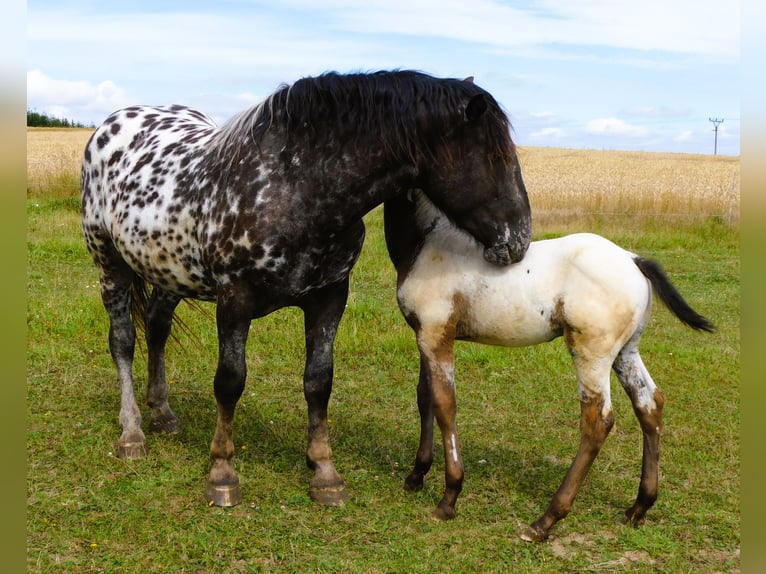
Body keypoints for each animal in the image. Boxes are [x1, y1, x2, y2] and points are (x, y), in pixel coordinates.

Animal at [79, 72, 536, 508]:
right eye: (497, 158)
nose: (518, 241)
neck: (294, 187)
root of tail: (111, 124)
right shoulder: (234, 299)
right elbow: (230, 381)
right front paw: (222, 473)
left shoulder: (329, 298)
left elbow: (319, 381)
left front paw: (324, 472)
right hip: (109, 262)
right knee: (123, 341)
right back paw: (132, 431)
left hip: (169, 271)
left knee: (157, 327)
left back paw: (163, 414)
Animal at [388, 191, 716, 544]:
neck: (428, 241)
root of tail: (632, 259)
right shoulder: (425, 335)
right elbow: (425, 398)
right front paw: (416, 475)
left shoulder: (435, 336)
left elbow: (444, 405)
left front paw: (447, 500)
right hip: (626, 352)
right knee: (650, 404)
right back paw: (639, 507)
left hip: (591, 354)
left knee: (598, 421)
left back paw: (545, 521)